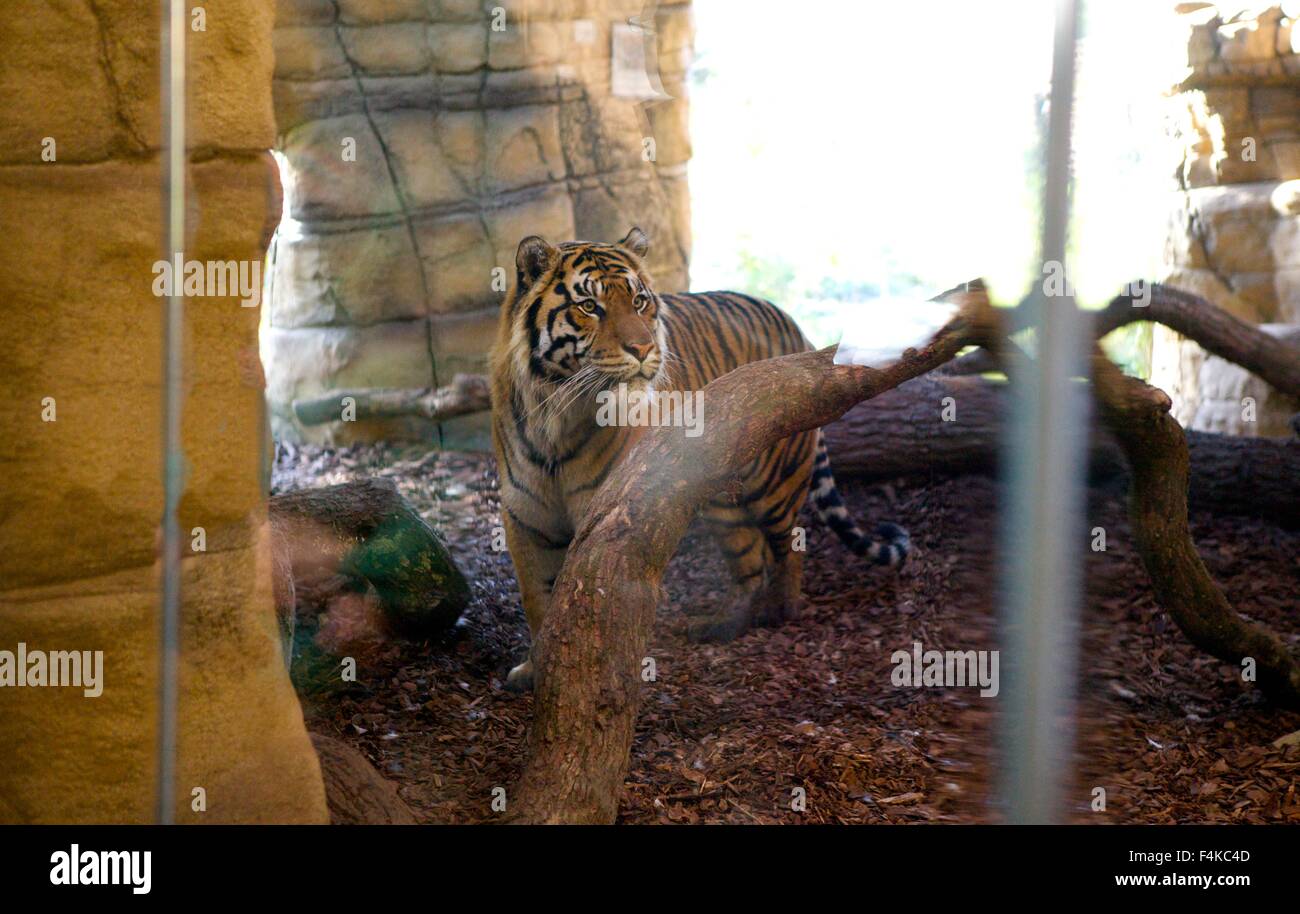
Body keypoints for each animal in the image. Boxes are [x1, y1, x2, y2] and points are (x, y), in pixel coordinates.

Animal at [491, 228, 909, 691]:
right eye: (589, 307)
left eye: (639, 301)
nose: (643, 349)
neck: (556, 416)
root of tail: (797, 328)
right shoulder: (525, 517)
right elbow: (537, 600)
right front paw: (535, 669)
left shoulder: (607, 519)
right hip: (723, 502)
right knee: (750, 559)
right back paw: (723, 624)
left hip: (775, 485)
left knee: (790, 544)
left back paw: (781, 610)